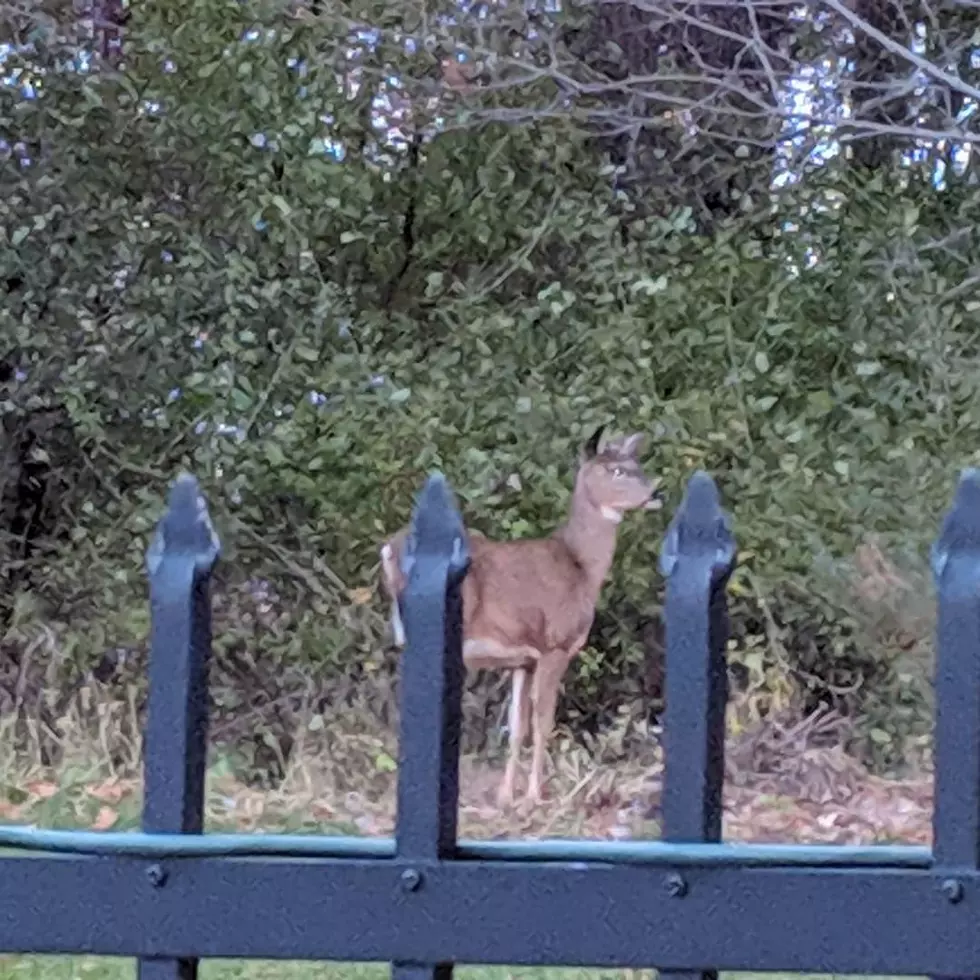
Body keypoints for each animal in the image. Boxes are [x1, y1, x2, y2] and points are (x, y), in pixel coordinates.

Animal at [378, 425, 663, 807]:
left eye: (637, 463)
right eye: (616, 470)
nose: (656, 492)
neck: (581, 569)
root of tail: (388, 549)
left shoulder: (522, 659)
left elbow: (516, 726)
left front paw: (505, 796)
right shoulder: (556, 644)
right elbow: (543, 722)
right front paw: (535, 795)